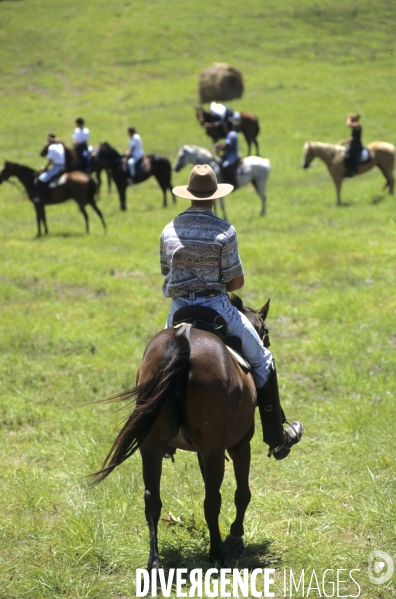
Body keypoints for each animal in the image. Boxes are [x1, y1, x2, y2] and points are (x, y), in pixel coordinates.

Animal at [93, 296, 272, 572]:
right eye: (265, 332)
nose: (266, 342)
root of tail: (184, 338)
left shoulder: (201, 451)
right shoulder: (239, 444)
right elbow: (242, 493)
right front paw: (235, 537)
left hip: (152, 446)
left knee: (152, 500)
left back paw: (155, 561)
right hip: (215, 450)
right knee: (212, 501)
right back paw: (216, 553)